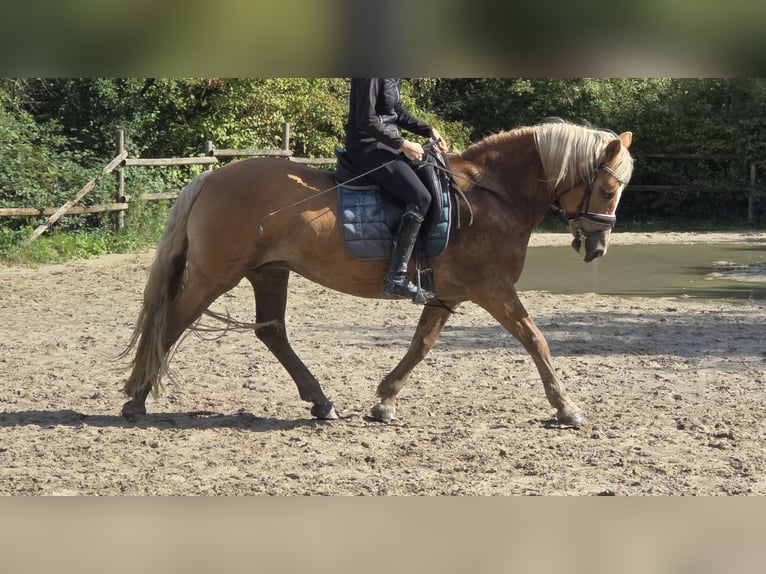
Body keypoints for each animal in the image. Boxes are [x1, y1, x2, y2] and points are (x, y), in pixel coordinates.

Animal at [121, 120, 633, 428]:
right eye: (609, 189)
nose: (598, 248)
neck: (493, 195)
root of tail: (211, 177)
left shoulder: (447, 294)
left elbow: (421, 344)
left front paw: (385, 400)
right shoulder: (494, 289)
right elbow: (535, 339)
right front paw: (567, 407)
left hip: (269, 272)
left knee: (272, 332)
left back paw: (321, 401)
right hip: (216, 275)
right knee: (173, 321)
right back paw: (136, 397)